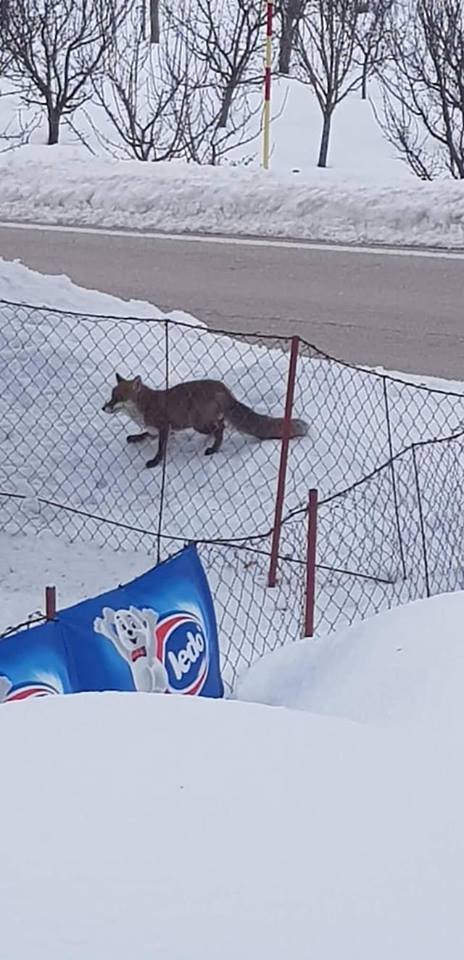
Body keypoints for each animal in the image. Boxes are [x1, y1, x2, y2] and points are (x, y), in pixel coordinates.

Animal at [103, 374, 310, 466]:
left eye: (118, 398)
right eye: (111, 396)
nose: (104, 408)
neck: (144, 406)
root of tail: (223, 389)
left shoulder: (164, 426)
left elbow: (161, 449)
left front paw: (155, 462)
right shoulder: (160, 430)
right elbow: (145, 434)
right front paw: (134, 438)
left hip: (198, 423)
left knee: (220, 428)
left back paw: (213, 448)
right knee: (221, 426)